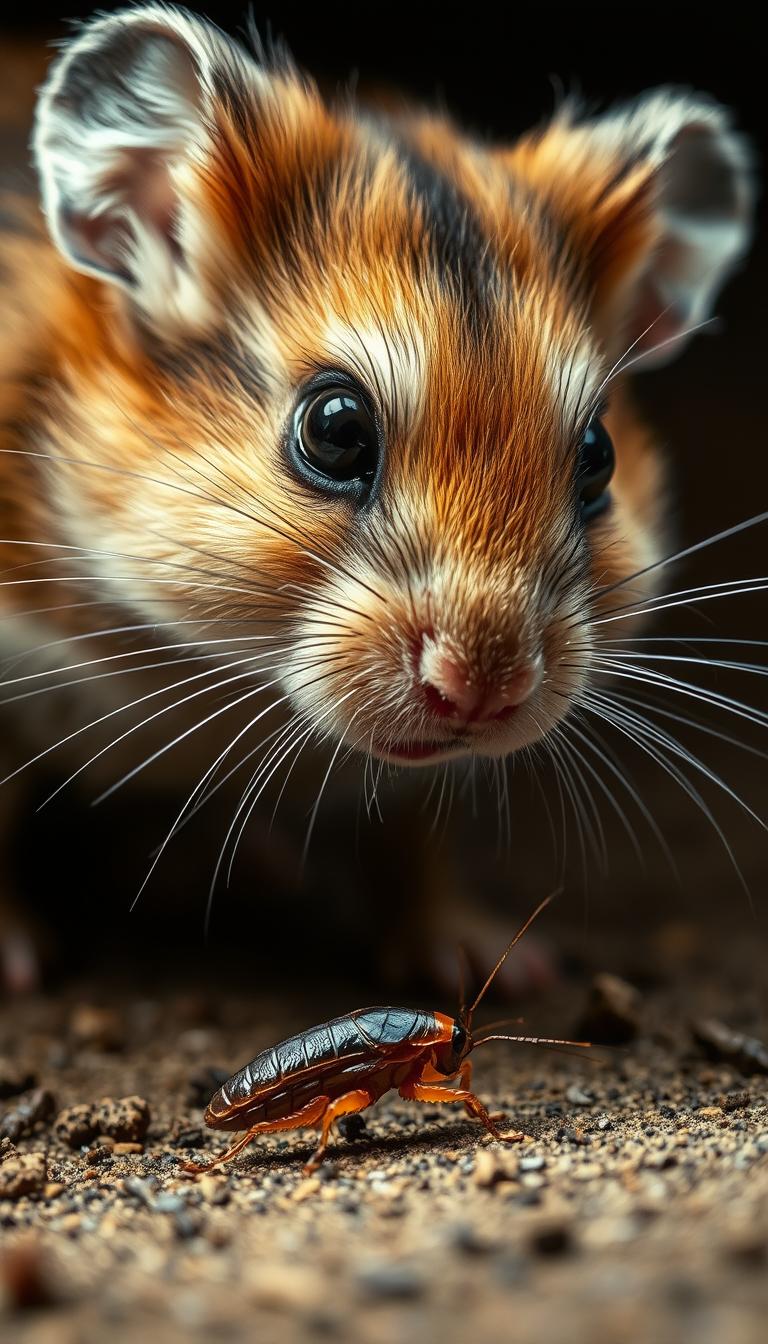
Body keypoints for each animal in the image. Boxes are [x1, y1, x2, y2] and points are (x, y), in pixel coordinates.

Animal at [0, 5, 754, 988]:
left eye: (599, 456)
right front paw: (18, 964)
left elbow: (413, 831)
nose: (481, 696)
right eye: (336, 429)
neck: (208, 673)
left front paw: (489, 965)